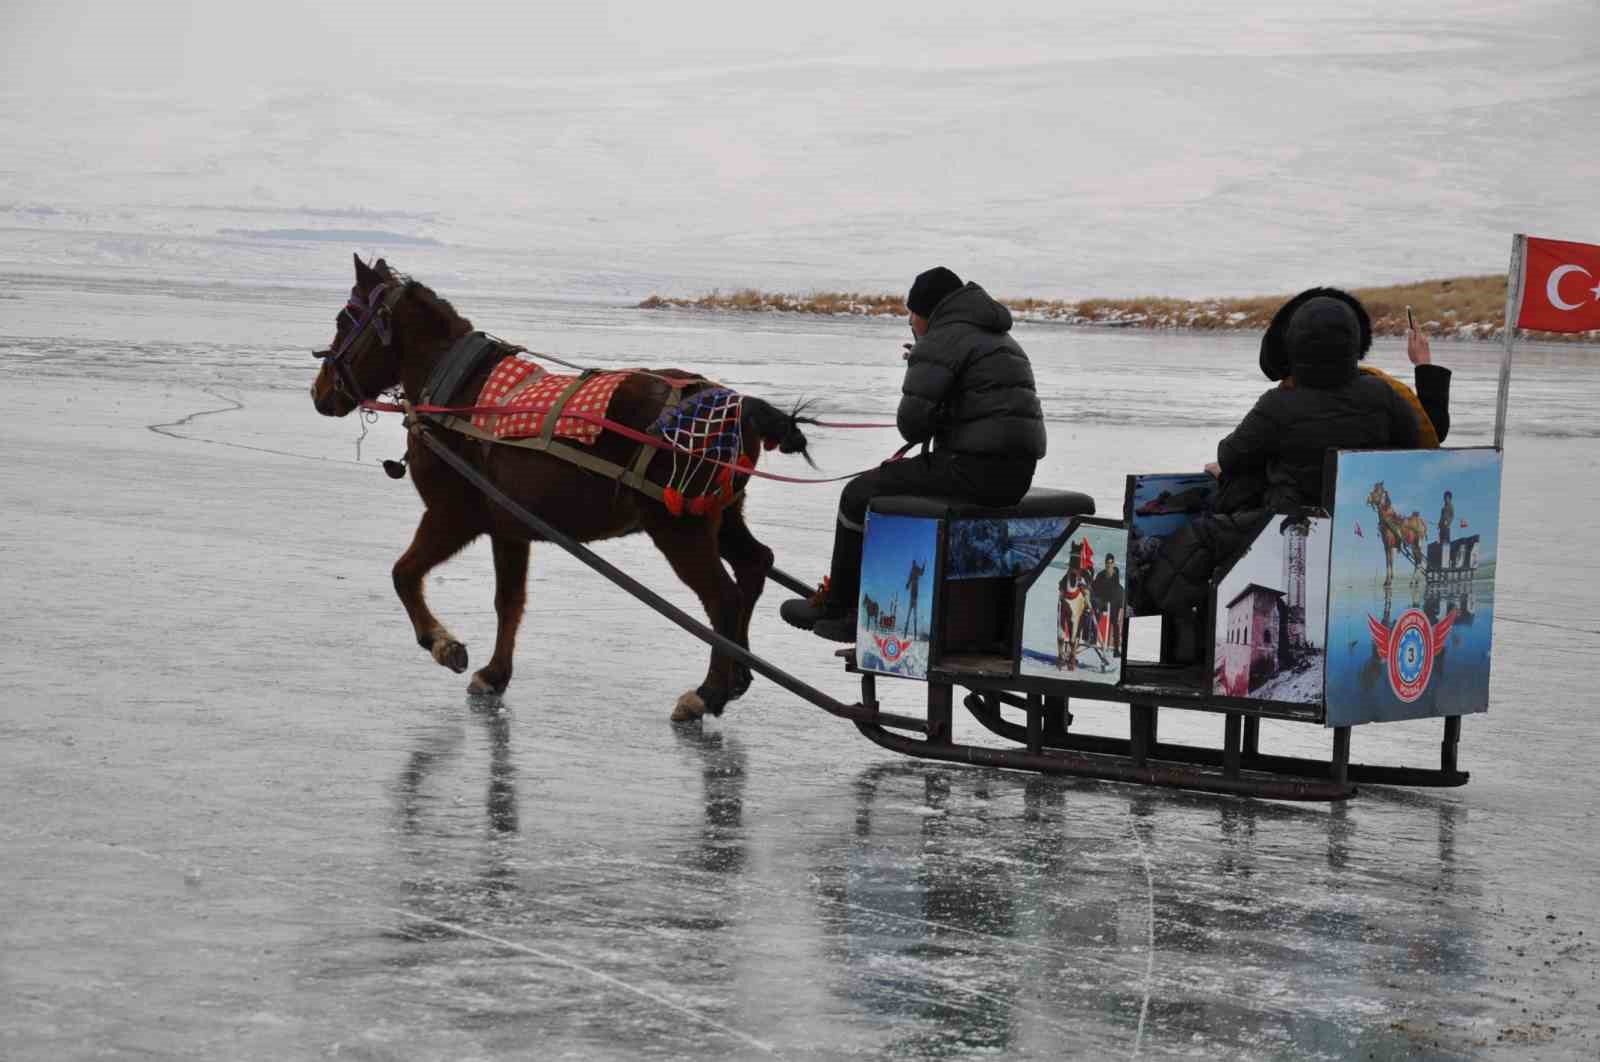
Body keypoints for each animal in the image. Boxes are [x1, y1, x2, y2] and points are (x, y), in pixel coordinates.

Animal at [312, 257, 812, 722]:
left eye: (343, 321)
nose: (319, 393)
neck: (458, 393)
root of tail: (742, 406)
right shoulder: (508, 528)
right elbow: (509, 602)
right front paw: (495, 674)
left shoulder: (452, 515)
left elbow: (403, 573)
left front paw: (444, 644)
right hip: (721, 515)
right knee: (754, 565)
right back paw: (738, 677)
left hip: (680, 526)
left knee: (722, 599)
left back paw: (707, 693)